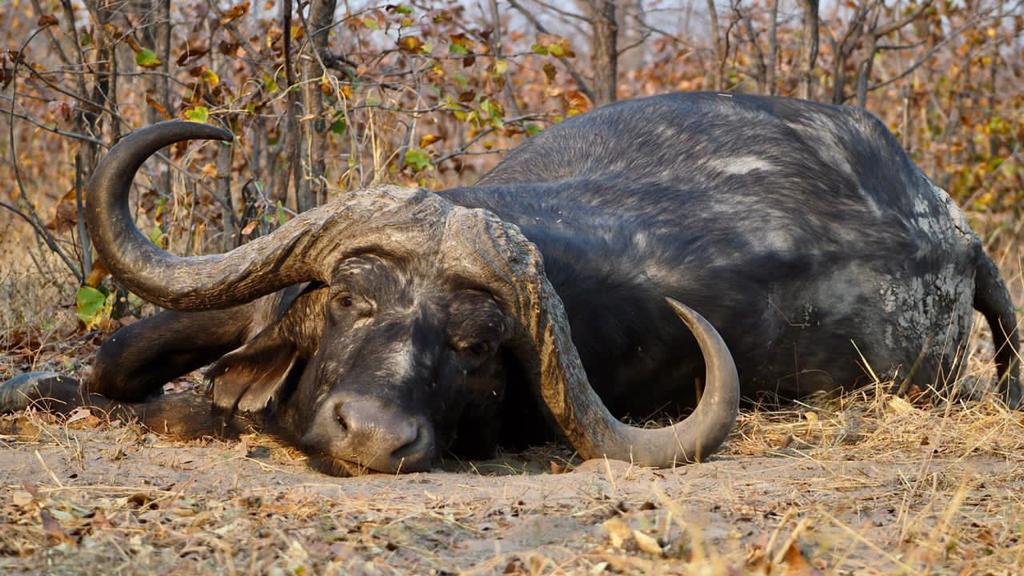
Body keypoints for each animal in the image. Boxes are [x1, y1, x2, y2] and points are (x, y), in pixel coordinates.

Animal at [0, 91, 1015, 473]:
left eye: (476, 348)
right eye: (350, 300)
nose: (374, 438)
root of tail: (956, 231)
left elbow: (170, 401)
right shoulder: (238, 304)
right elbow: (118, 357)